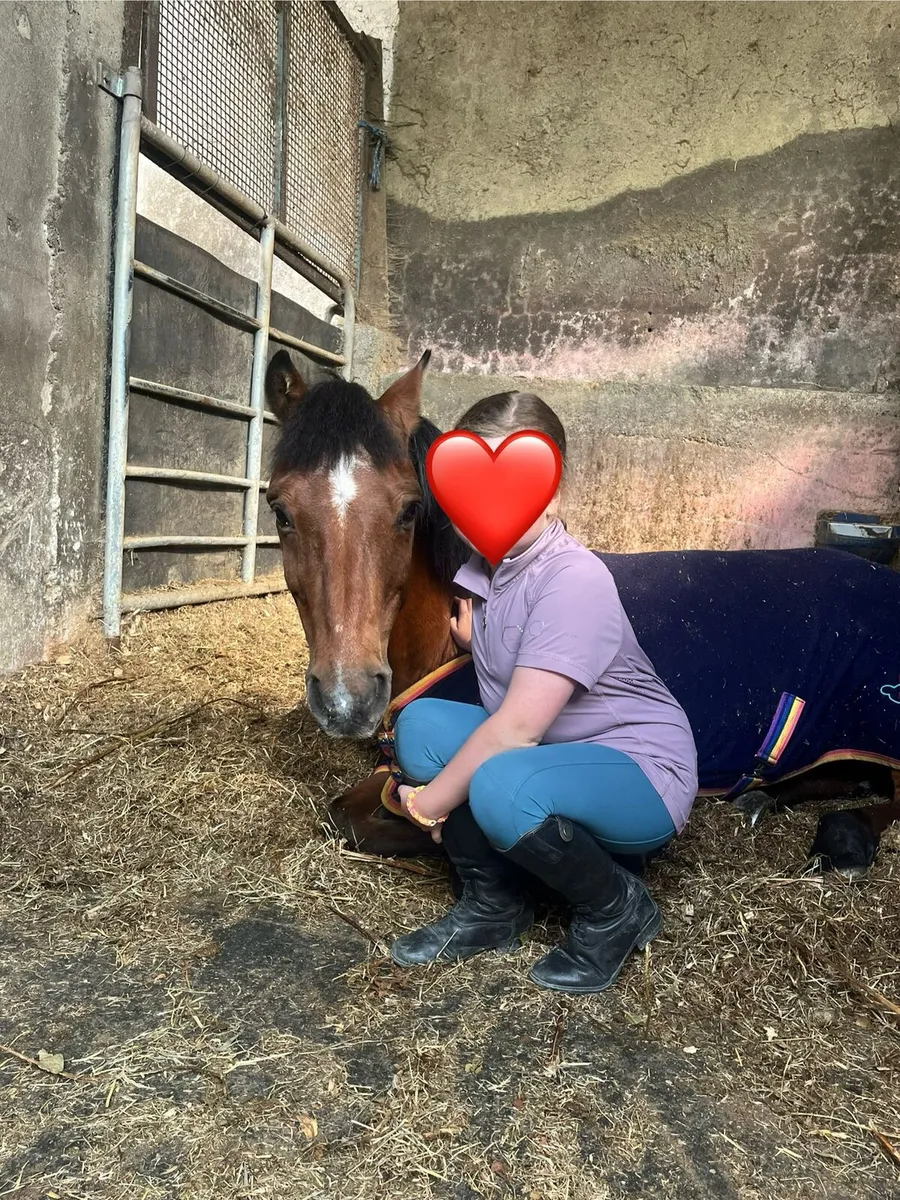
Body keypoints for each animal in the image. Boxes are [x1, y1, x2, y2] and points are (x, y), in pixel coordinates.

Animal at [263, 348, 900, 878]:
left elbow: (373, 816)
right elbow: (347, 812)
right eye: (280, 510)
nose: (346, 699)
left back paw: (844, 838)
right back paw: (760, 798)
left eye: (408, 510)